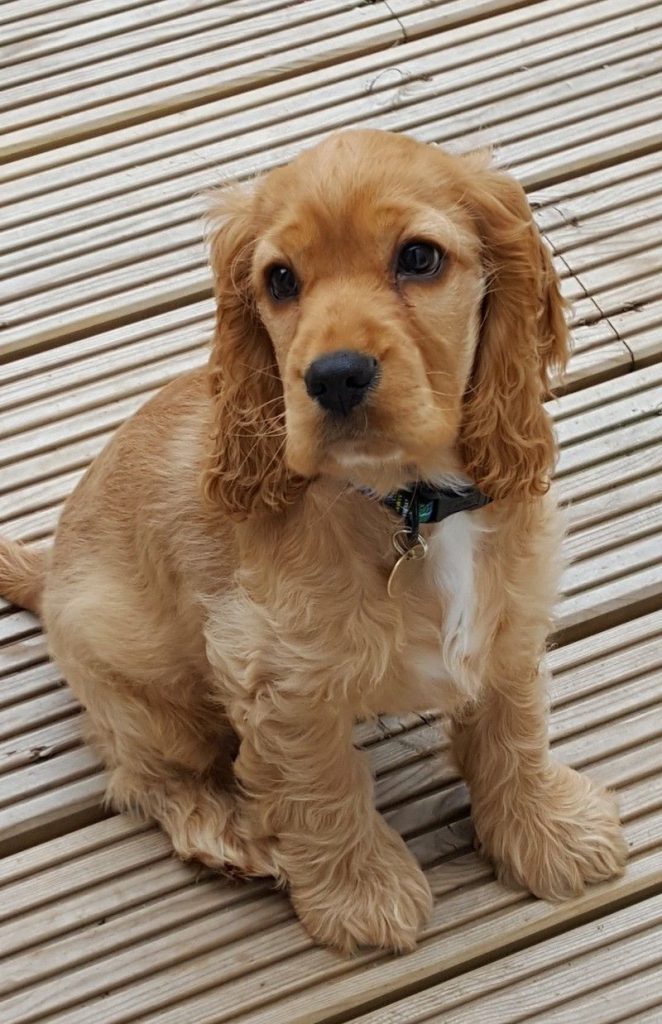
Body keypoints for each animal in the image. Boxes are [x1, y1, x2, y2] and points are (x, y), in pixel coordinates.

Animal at [0, 128, 627, 950]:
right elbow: (322, 783)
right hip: (143, 694)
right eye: (280, 279)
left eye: (418, 257)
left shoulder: (510, 619)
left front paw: (550, 834)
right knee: (145, 776)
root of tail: (46, 572)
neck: (408, 504)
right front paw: (362, 896)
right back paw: (229, 834)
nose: (333, 376)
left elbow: (513, 729)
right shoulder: (275, 674)